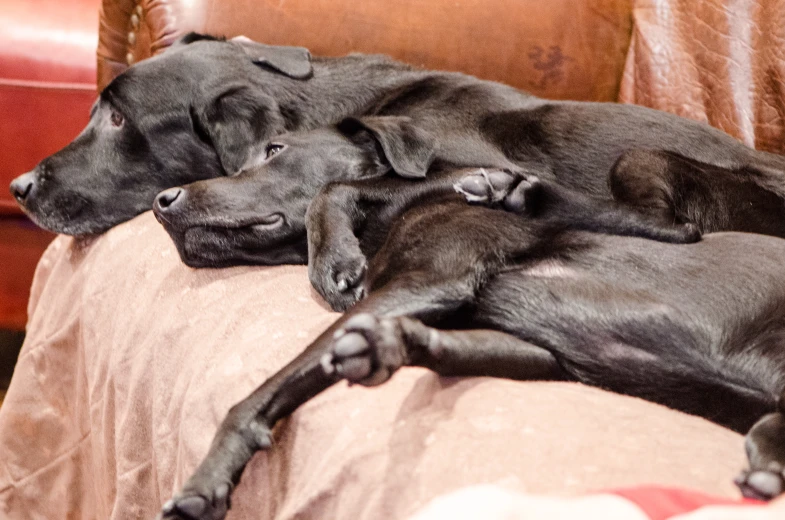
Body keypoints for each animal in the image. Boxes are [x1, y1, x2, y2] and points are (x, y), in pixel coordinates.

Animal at [156, 133, 784, 520]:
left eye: (275, 149)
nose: (162, 201)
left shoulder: (432, 277)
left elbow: (261, 389)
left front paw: (206, 479)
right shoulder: (537, 353)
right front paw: (390, 342)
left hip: (642, 160)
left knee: (673, 227)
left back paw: (523, 193)